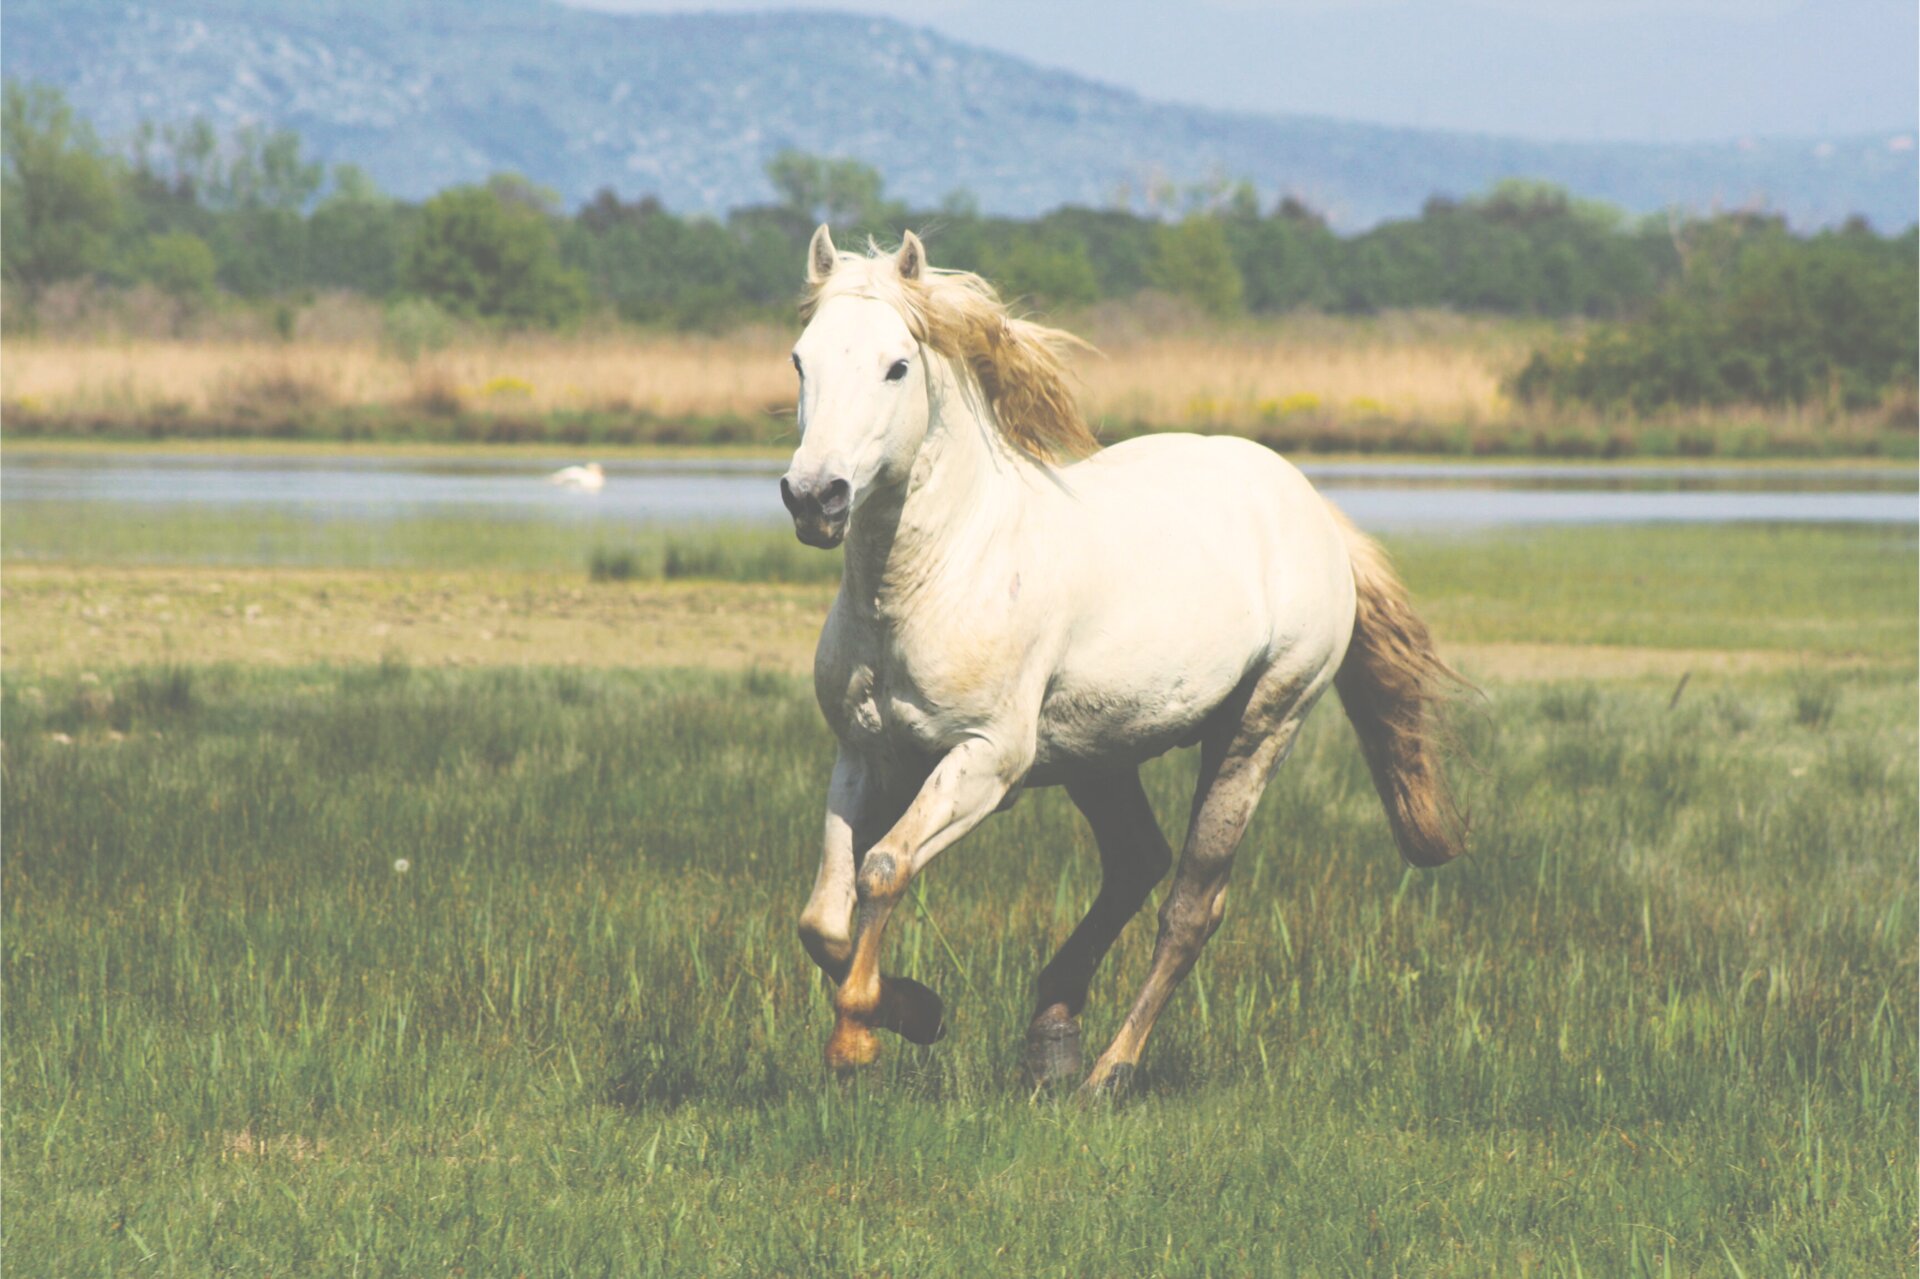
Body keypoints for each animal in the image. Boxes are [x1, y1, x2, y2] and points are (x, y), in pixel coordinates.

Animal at [771, 226, 1459, 1083]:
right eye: (801, 359)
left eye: (896, 366)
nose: (815, 497)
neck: (934, 577)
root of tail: (1315, 509)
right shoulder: (865, 753)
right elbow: (823, 916)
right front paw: (918, 1011)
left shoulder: (986, 761)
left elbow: (886, 867)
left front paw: (859, 1035)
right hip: (1096, 752)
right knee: (1138, 860)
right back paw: (1052, 1036)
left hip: (1259, 728)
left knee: (1192, 903)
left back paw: (1109, 1070)